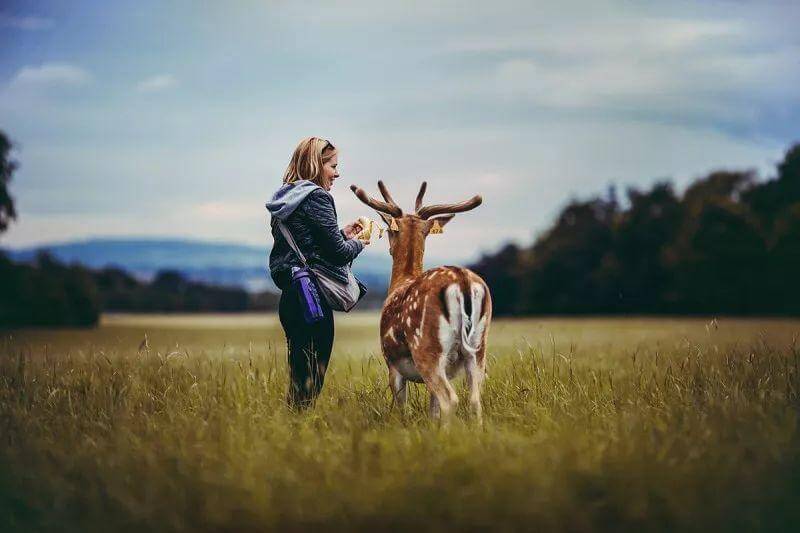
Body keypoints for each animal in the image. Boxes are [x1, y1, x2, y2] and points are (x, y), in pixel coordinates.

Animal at [352, 181, 490, 422]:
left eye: (390, 231)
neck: (402, 280)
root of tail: (462, 281)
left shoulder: (393, 365)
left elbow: (403, 407)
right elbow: (432, 411)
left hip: (427, 348)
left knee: (450, 399)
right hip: (478, 349)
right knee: (474, 400)